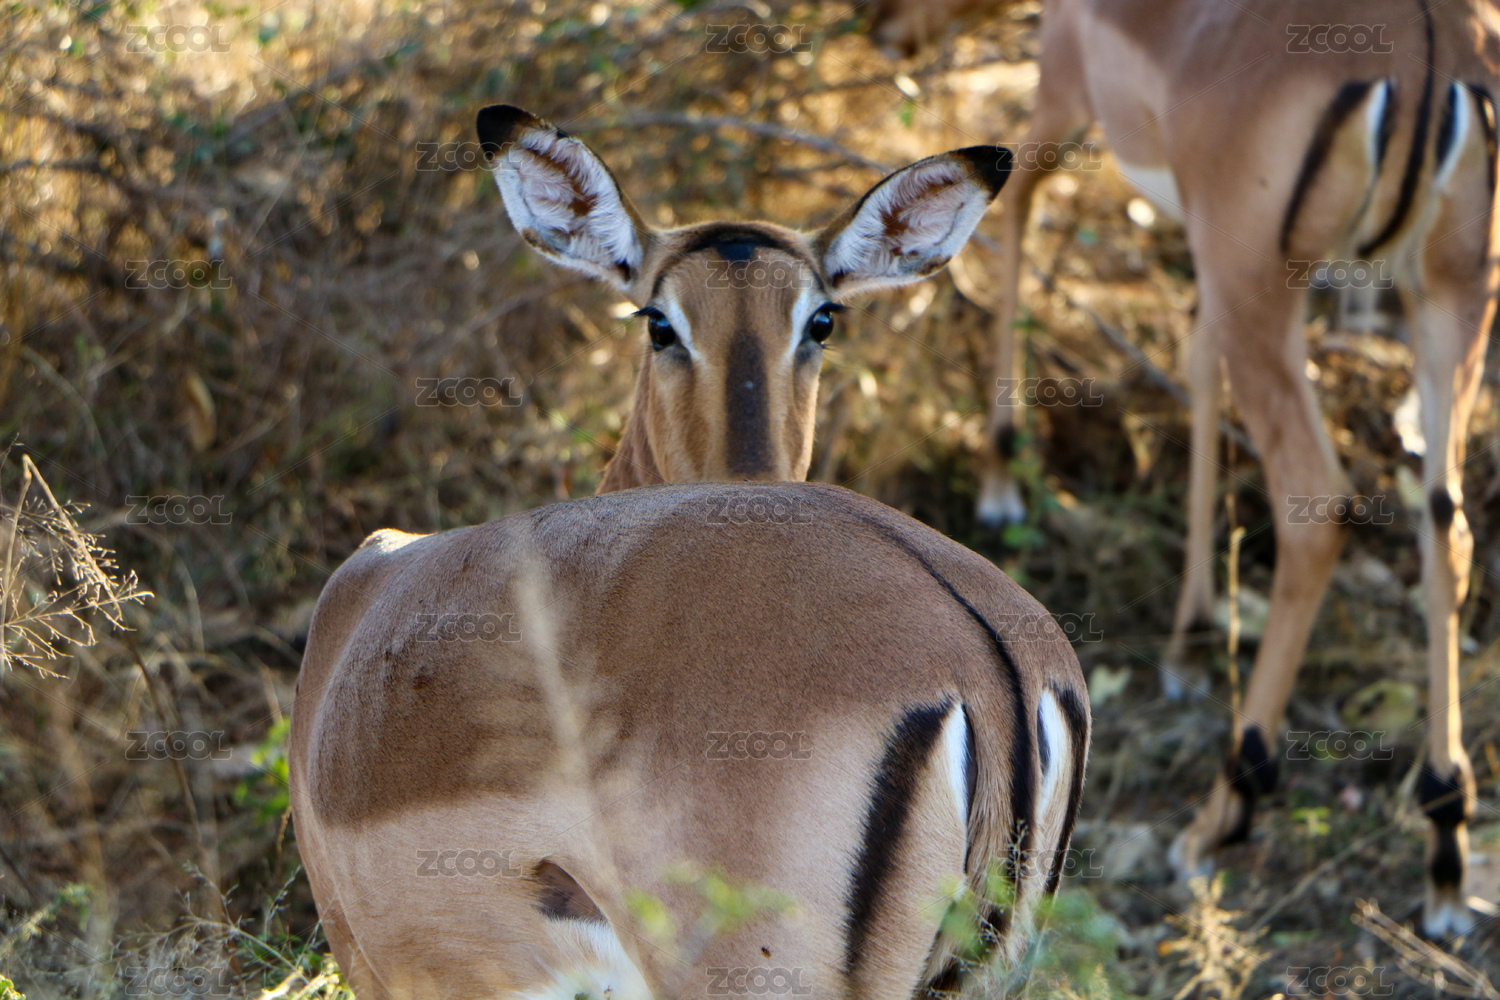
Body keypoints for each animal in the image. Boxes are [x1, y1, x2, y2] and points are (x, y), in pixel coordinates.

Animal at [975, 0, 1499, 937]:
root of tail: (1430, 49)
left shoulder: (1062, 96)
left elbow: (1013, 217)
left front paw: (998, 484)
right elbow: (1196, 364)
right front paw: (1188, 643)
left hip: (1266, 284)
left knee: (1317, 505)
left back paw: (1224, 810)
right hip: (1449, 296)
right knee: (1449, 523)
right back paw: (1445, 846)